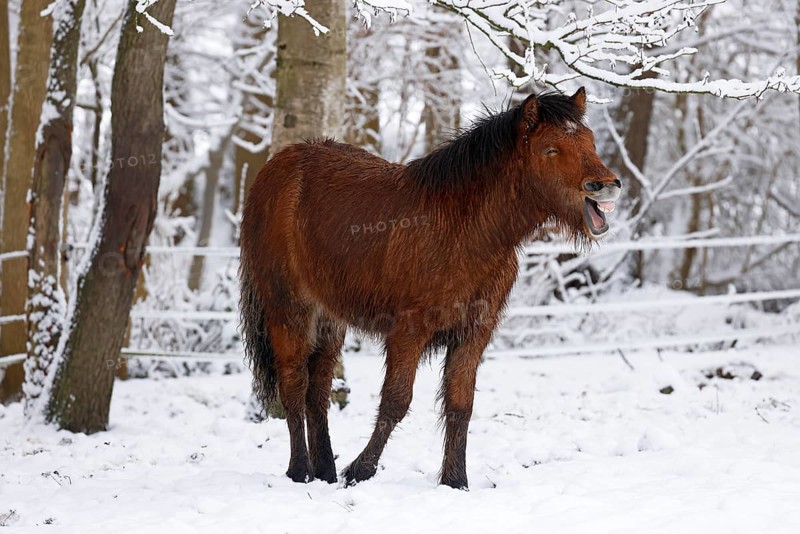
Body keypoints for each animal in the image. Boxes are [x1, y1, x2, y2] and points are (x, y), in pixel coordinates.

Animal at [239, 88, 622, 489]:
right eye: (551, 150)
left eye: (590, 141)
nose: (605, 185)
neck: (464, 231)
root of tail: (274, 170)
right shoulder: (409, 331)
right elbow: (396, 401)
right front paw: (361, 470)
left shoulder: (473, 333)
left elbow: (460, 406)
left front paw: (455, 481)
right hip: (289, 309)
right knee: (294, 386)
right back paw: (300, 471)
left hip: (329, 319)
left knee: (318, 391)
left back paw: (325, 471)